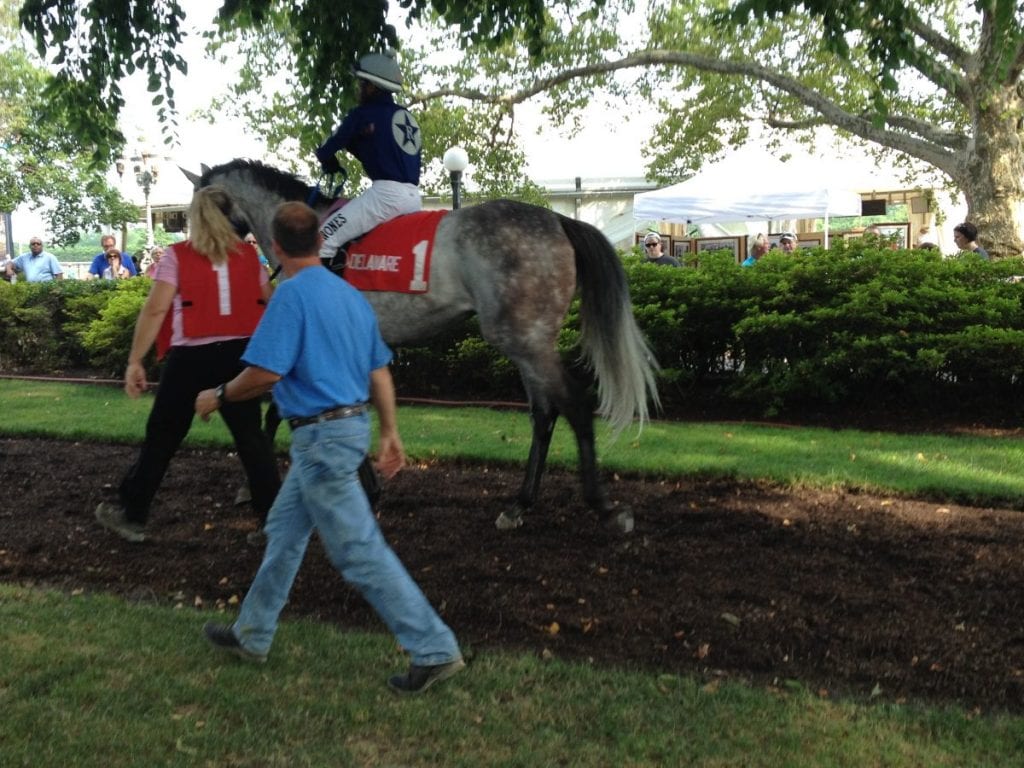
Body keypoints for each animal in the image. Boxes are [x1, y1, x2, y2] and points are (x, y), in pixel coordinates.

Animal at [184, 160, 659, 536]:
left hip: (523, 339)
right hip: (529, 341)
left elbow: (280, 411)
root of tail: (559, 221)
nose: (198, 255)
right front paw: (368, 485)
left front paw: (250, 485)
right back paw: (519, 505)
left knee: (574, 404)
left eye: (198, 213)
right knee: (545, 413)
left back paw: (603, 507)